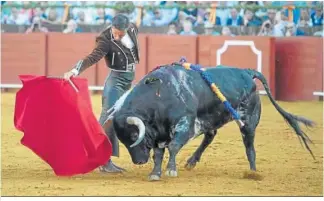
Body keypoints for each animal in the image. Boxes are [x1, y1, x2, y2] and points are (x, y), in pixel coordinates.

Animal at [106, 64, 314, 181]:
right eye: (123, 140)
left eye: (135, 135)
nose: (139, 161)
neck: (159, 96)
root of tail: (247, 72)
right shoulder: (159, 134)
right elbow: (158, 154)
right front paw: (155, 173)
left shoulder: (185, 125)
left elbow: (173, 147)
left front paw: (171, 170)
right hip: (212, 118)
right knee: (210, 135)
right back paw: (191, 161)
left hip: (248, 121)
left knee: (249, 145)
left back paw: (253, 172)